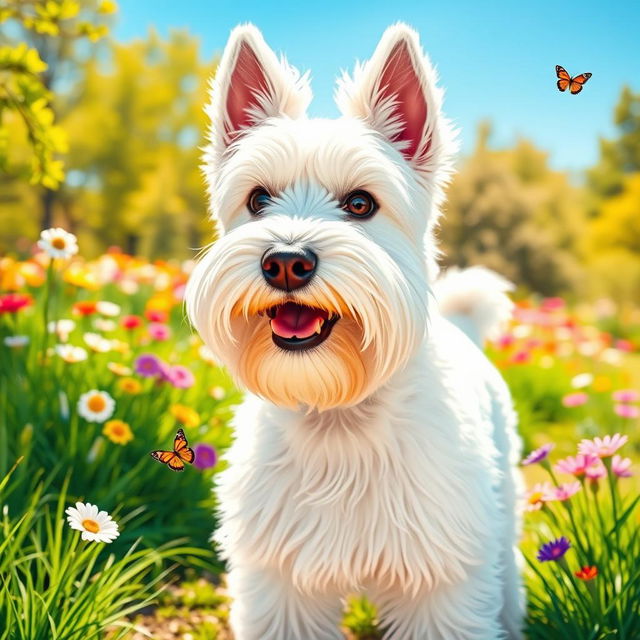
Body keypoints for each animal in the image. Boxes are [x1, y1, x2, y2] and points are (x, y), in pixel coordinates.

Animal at [186, 22, 524, 636]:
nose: (285, 262)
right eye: (258, 199)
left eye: (362, 203)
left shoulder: (439, 580)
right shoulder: (282, 582)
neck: (338, 415)